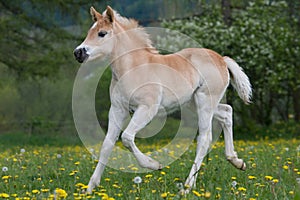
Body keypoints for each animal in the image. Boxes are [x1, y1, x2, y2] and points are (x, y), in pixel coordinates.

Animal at [74, 5, 252, 194]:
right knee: (227, 112)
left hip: (205, 101)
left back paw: (187, 187)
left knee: (205, 139)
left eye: (102, 33)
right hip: (193, 103)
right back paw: (236, 162)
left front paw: (154, 165)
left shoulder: (147, 108)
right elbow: (107, 145)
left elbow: (127, 137)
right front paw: (89, 188)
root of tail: (222, 59)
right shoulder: (117, 109)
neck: (133, 67)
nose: (78, 53)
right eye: (90, 31)